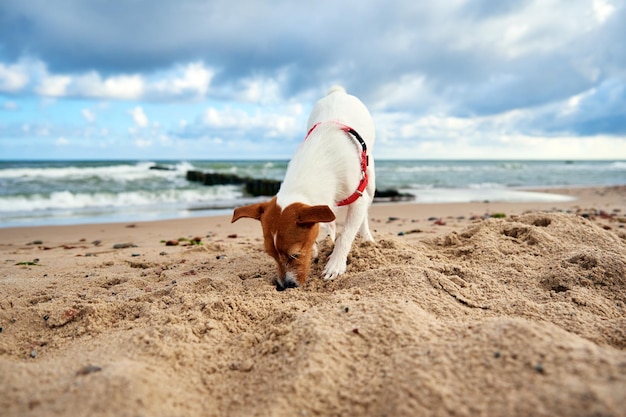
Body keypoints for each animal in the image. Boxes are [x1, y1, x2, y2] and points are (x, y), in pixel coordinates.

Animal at [230, 85, 372, 290]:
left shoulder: (358, 198)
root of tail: (337, 93)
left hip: (370, 174)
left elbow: (346, 235)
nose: (283, 286)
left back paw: (367, 239)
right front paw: (318, 246)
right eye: (271, 255)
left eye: (295, 254)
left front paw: (335, 264)